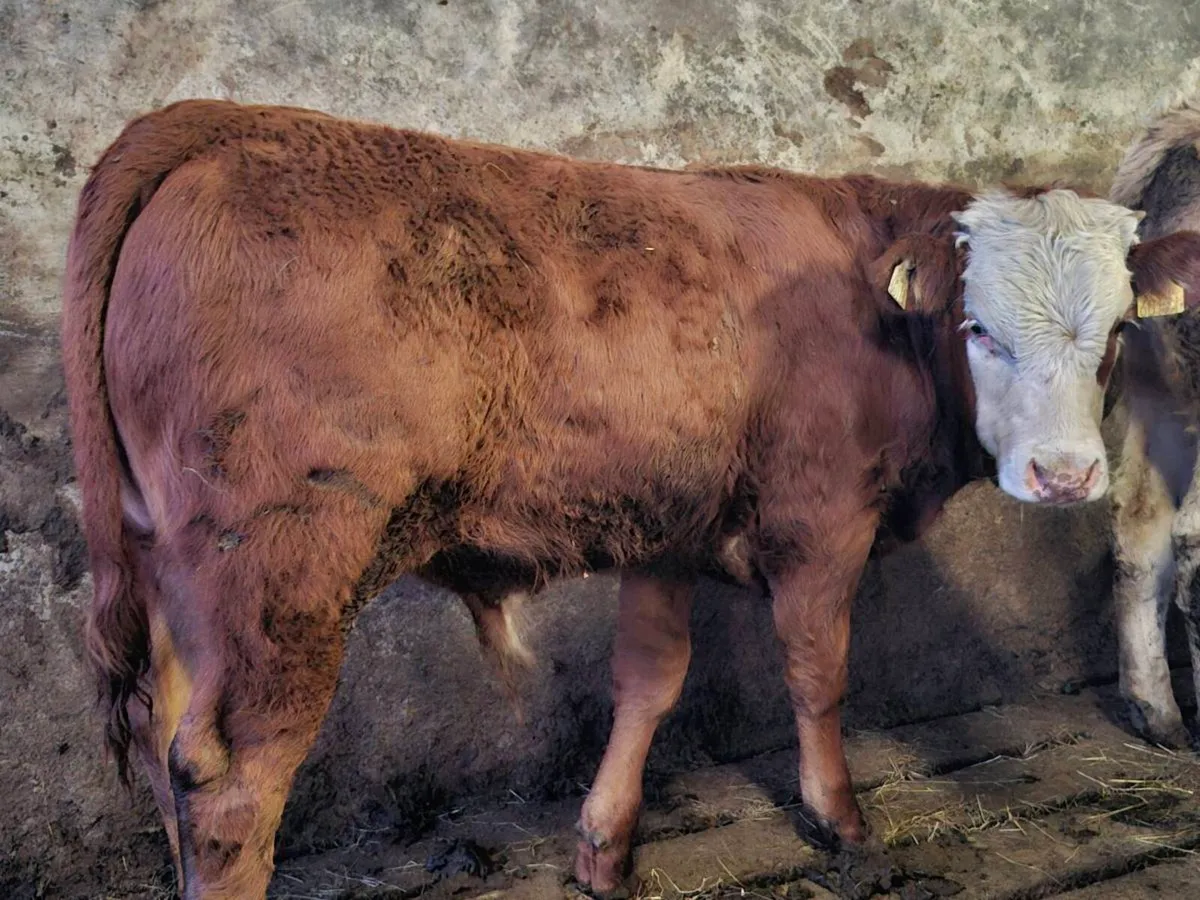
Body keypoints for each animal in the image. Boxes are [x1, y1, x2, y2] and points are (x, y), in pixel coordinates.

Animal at [60, 100, 1200, 899]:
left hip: (178, 573)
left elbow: (649, 681)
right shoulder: (820, 520)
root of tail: (215, 123)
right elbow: (818, 673)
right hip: (282, 568)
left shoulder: (667, 530)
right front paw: (841, 823)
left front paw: (604, 847)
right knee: (229, 782)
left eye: (1113, 333)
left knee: (169, 748)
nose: (1066, 475)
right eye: (977, 328)